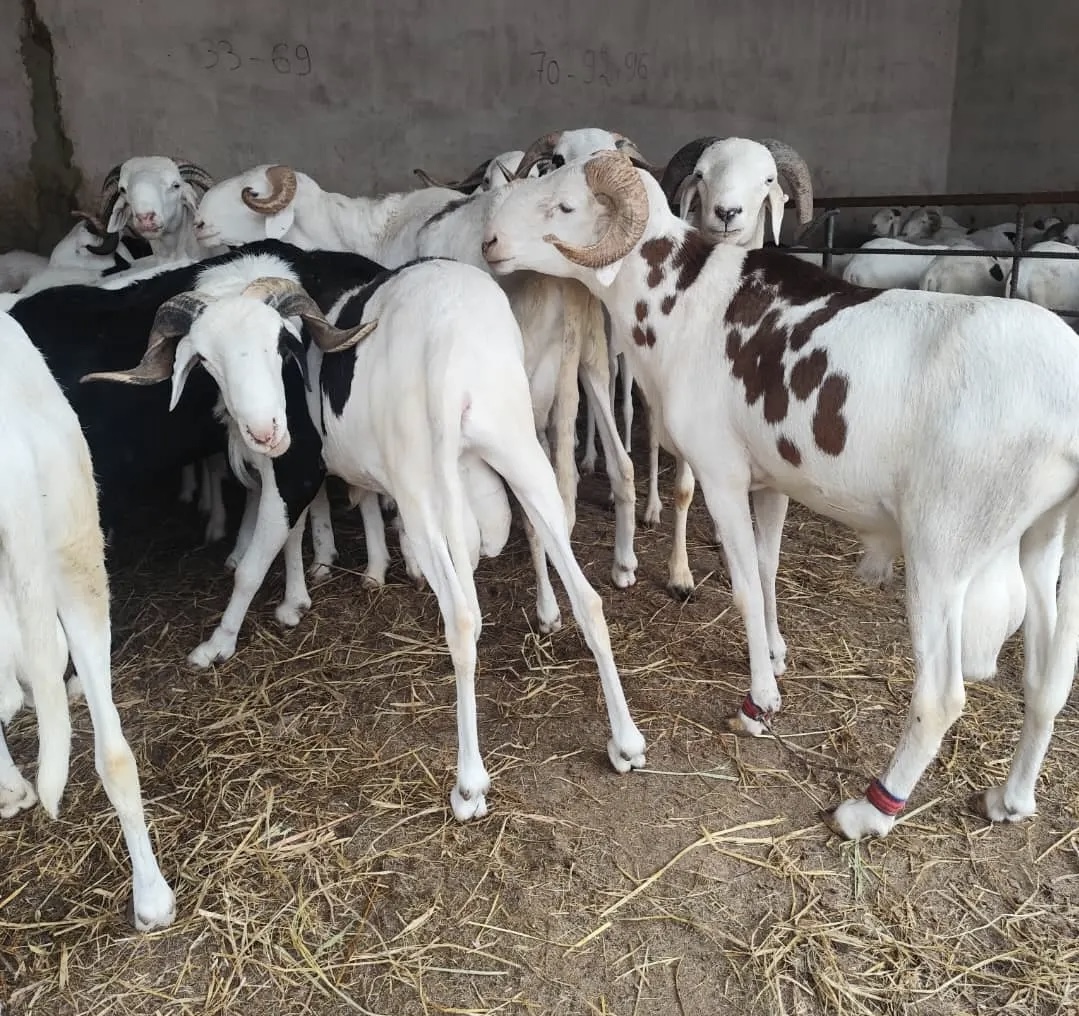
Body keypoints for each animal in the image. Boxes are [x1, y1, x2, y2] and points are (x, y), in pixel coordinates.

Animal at [84, 261, 648, 820]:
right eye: (207, 360)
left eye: (277, 345)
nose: (265, 431)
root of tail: (455, 343)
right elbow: (321, 522)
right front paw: (317, 589)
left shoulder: (296, 468)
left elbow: (258, 558)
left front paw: (219, 642)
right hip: (516, 446)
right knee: (586, 599)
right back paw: (626, 742)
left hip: (423, 488)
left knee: (463, 619)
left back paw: (469, 785)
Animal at [483, 149, 1079, 840]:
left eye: (566, 206)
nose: (490, 242)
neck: (680, 300)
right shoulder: (773, 480)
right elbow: (768, 569)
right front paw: (774, 652)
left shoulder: (721, 472)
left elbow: (743, 580)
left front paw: (759, 700)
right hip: (1047, 534)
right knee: (1048, 678)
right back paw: (1011, 798)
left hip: (946, 541)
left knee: (940, 695)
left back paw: (871, 810)